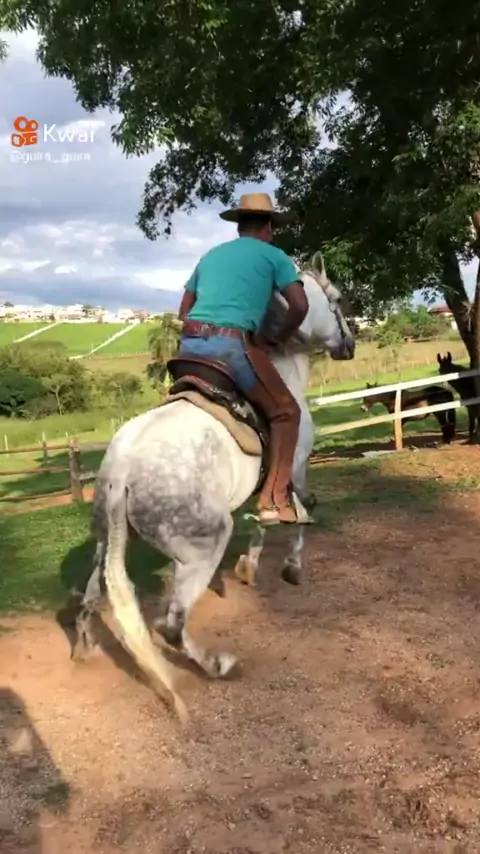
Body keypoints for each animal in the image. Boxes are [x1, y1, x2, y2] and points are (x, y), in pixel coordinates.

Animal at [72, 251, 355, 721]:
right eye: (335, 300)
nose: (349, 344)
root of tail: (122, 469)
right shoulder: (294, 469)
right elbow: (297, 513)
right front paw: (290, 567)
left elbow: (265, 519)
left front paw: (249, 567)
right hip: (205, 545)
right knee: (170, 625)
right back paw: (217, 665)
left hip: (105, 545)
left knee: (93, 597)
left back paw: (84, 649)